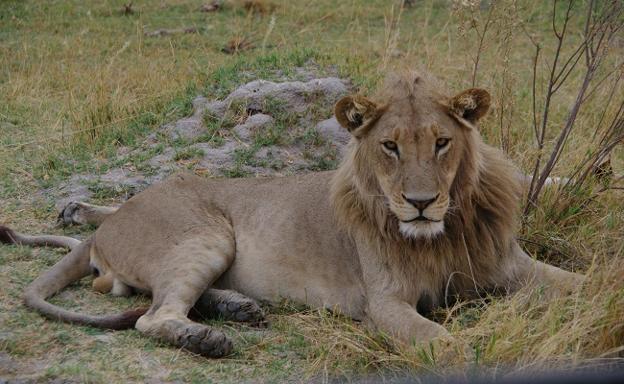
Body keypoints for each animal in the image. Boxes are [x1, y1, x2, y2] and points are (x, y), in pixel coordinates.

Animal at [2, 71, 584, 356]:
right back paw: (209, 339)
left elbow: (584, 284)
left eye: (442, 143)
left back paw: (237, 307)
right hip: (205, 235)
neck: (444, 233)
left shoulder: (511, 266)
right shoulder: (384, 303)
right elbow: (445, 344)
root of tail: (117, 218)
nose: (420, 203)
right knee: (154, 316)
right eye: (390, 147)